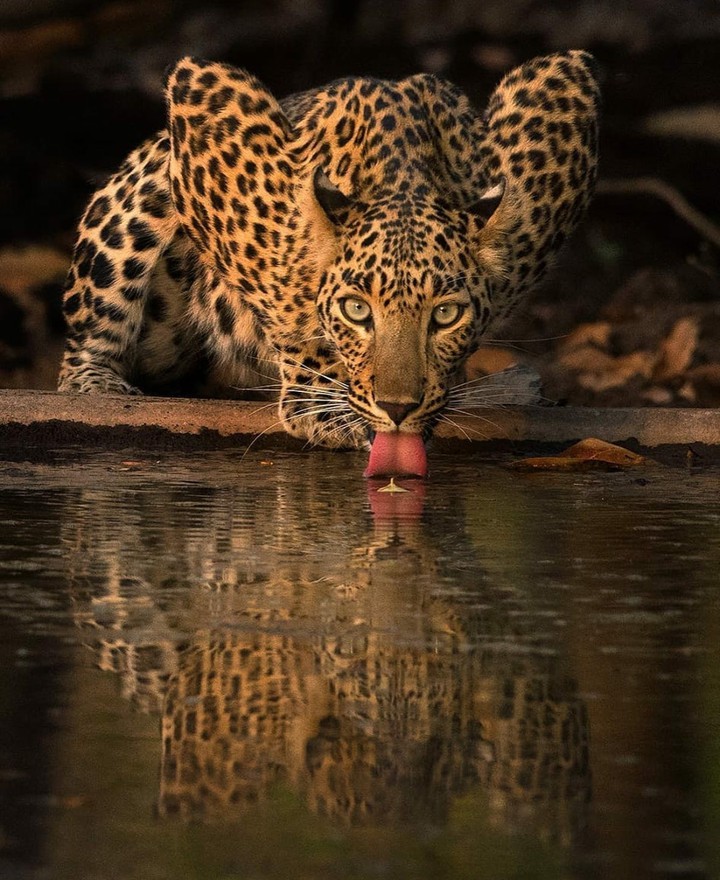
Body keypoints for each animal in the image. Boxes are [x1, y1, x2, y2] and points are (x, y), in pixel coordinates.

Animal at [57, 51, 600, 463]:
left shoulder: (563, 89)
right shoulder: (205, 97)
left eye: (446, 315)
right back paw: (98, 385)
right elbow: (278, 292)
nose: (397, 409)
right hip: (145, 196)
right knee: (87, 338)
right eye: (356, 310)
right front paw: (325, 403)